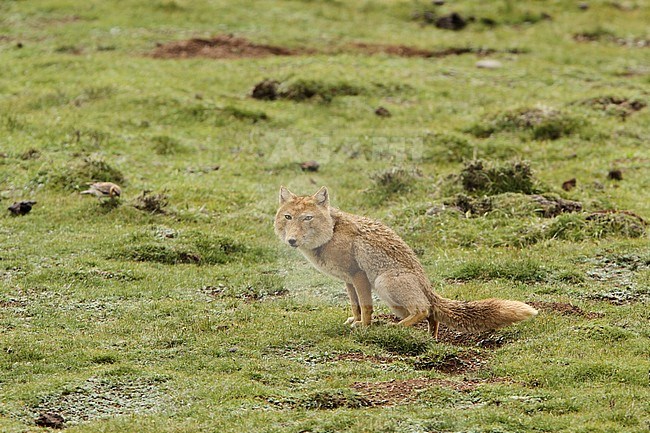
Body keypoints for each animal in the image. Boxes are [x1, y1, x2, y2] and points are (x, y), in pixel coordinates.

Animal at [270, 186, 536, 338]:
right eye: (288, 217)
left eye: (307, 218)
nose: (292, 240)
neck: (331, 234)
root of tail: (428, 288)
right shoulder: (348, 281)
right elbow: (355, 307)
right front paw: (355, 322)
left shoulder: (359, 276)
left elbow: (366, 307)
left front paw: (365, 328)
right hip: (393, 302)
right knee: (431, 314)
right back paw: (430, 337)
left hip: (384, 283)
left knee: (424, 309)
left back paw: (395, 328)